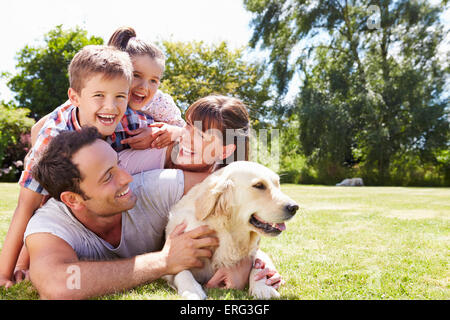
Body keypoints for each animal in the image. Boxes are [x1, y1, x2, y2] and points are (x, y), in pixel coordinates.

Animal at [163, 161, 298, 298]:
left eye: (277, 184)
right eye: (259, 185)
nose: (294, 207)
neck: (226, 233)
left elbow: (258, 264)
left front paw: (263, 288)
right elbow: (181, 270)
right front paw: (192, 290)